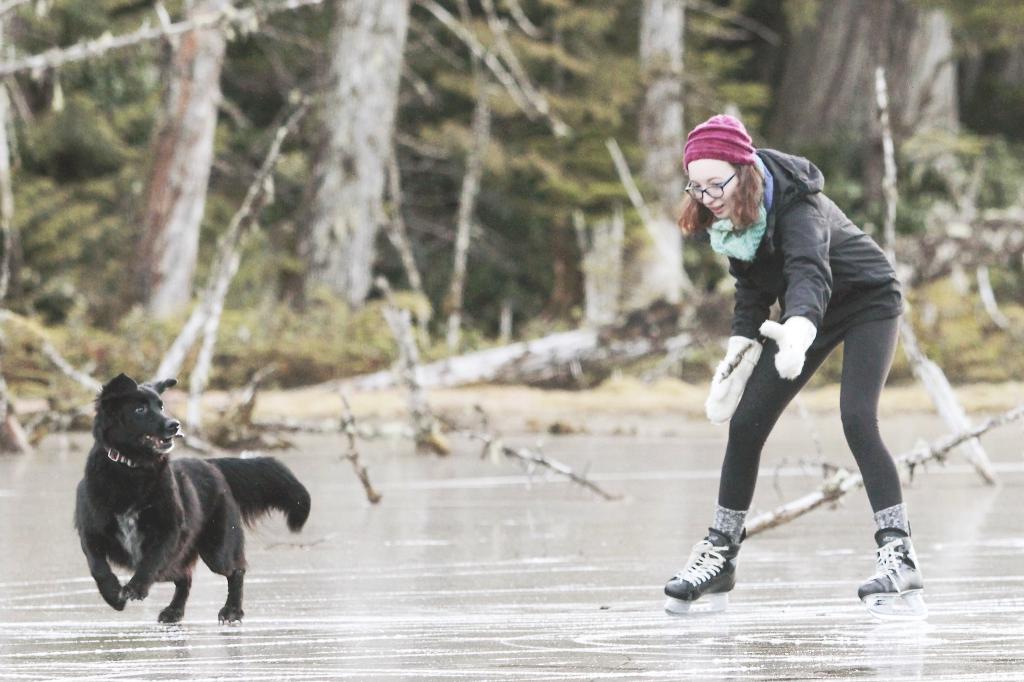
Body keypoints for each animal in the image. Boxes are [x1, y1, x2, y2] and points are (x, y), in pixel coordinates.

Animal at [75, 372, 309, 622]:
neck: (131, 469)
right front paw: (113, 595)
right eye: (140, 409)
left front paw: (136, 587)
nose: (174, 424)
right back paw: (174, 610)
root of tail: (210, 464)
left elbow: (150, 561)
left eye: (161, 406)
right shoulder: (90, 534)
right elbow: (98, 568)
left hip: (217, 549)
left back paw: (232, 609)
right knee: (184, 578)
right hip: (179, 562)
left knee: (235, 570)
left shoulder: (169, 530)